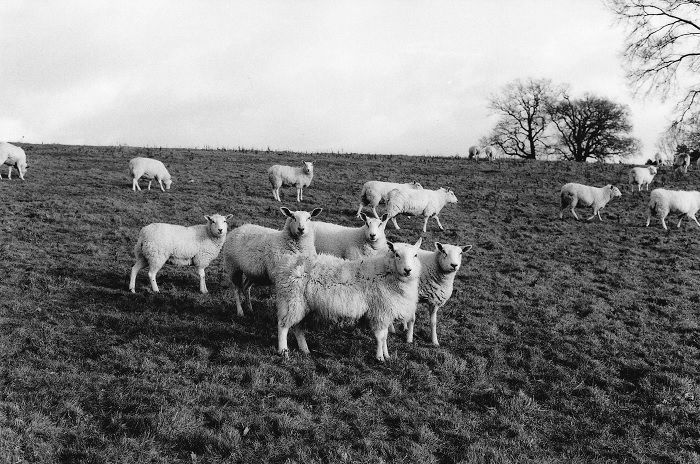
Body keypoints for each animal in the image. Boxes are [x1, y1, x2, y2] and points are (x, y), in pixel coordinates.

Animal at [276, 237, 424, 360]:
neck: (386, 273)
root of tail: (288, 264)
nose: (408, 270)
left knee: (298, 327)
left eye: (415, 255)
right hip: (292, 300)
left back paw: (304, 349)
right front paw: (380, 357)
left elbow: (385, 337)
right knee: (283, 325)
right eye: (397, 254)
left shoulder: (385, 314)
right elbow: (380, 337)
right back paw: (283, 351)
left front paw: (386, 355)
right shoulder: (379, 312)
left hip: (303, 305)